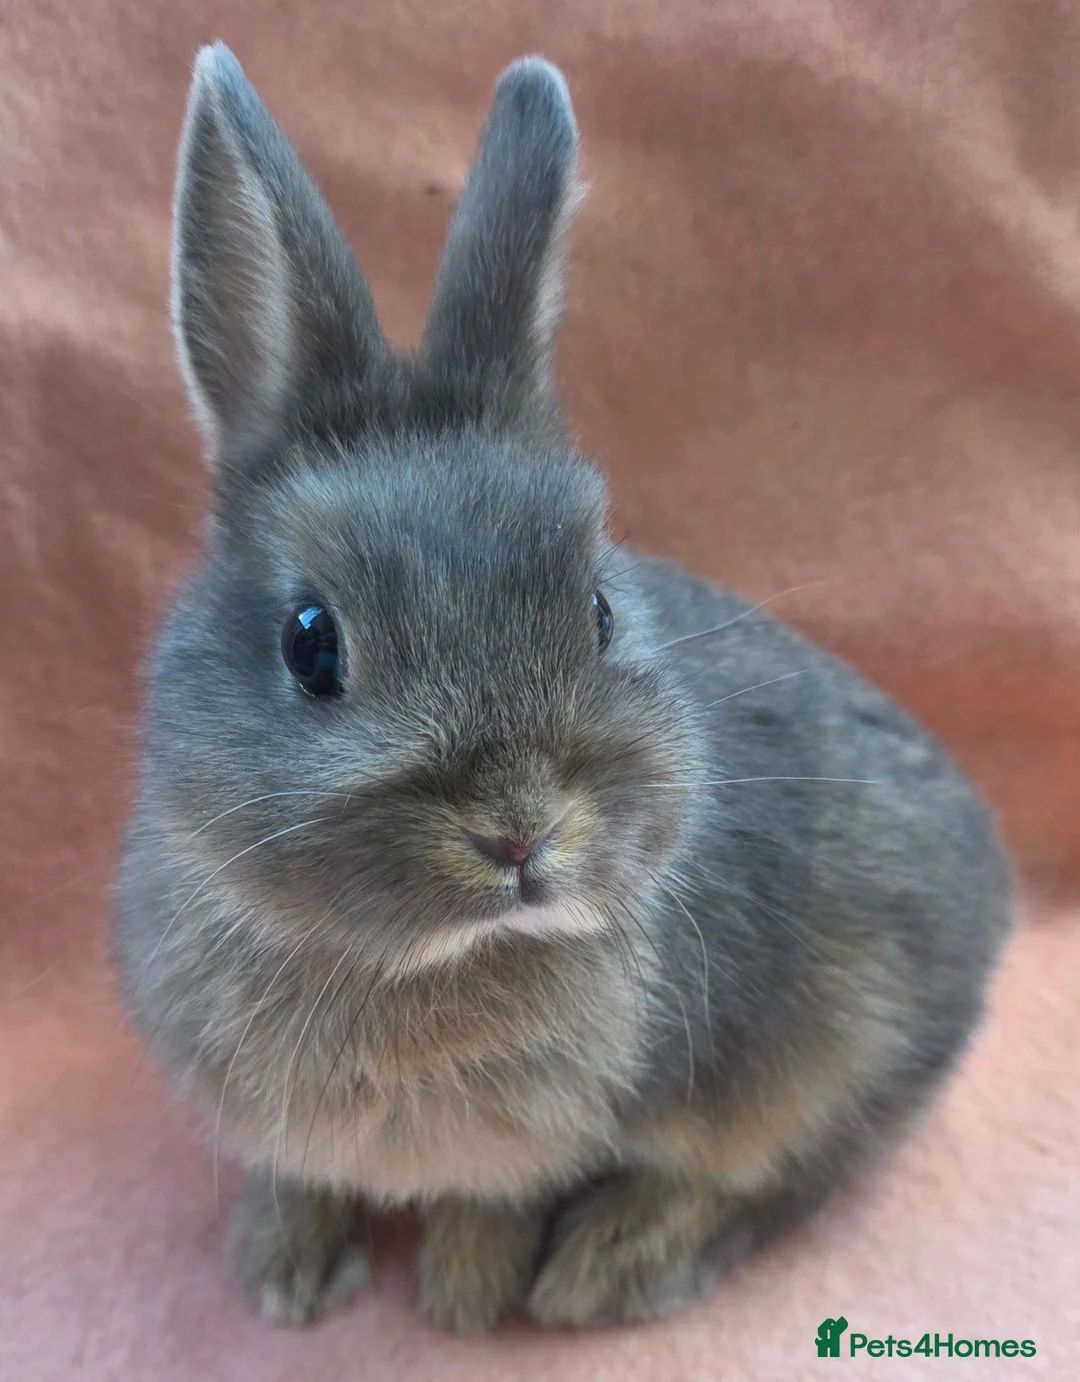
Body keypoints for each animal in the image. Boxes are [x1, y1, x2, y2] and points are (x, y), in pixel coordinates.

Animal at [113, 42, 1012, 1333]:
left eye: (597, 609)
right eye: (310, 643)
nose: (518, 831)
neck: (420, 960)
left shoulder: (545, 1138)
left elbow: (498, 1200)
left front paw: (464, 1300)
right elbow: (304, 1176)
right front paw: (286, 1276)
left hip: (846, 1039)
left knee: (786, 1172)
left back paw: (607, 1264)